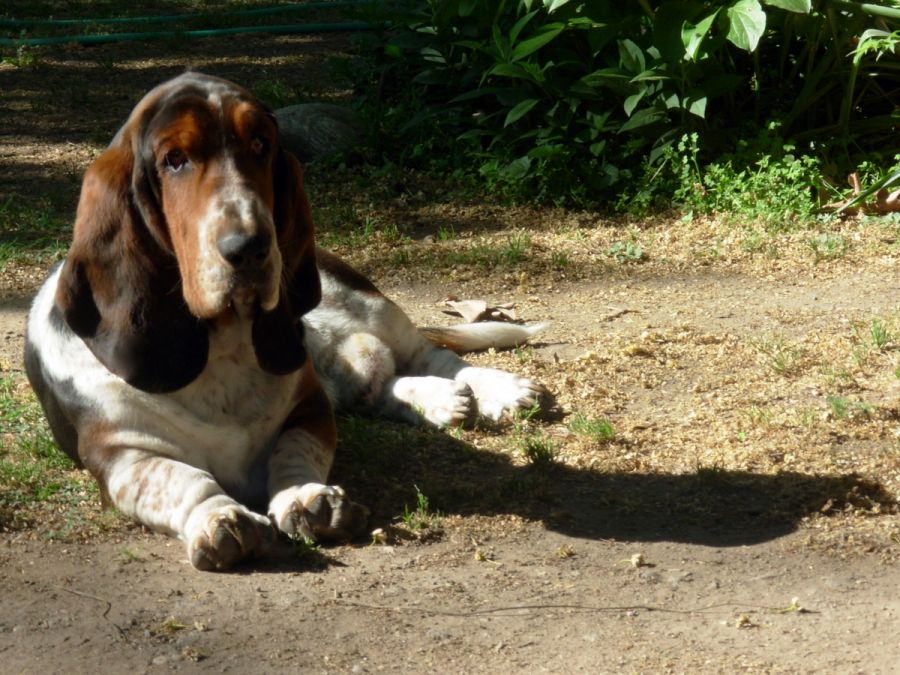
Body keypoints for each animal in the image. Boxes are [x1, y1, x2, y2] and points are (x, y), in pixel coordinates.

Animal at [24, 72, 544, 572]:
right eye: (174, 160)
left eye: (260, 144)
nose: (250, 246)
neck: (221, 349)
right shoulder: (122, 457)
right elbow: (181, 478)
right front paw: (220, 517)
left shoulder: (310, 409)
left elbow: (293, 453)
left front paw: (306, 498)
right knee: (382, 388)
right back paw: (442, 401)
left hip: (369, 306)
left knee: (433, 356)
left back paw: (499, 390)